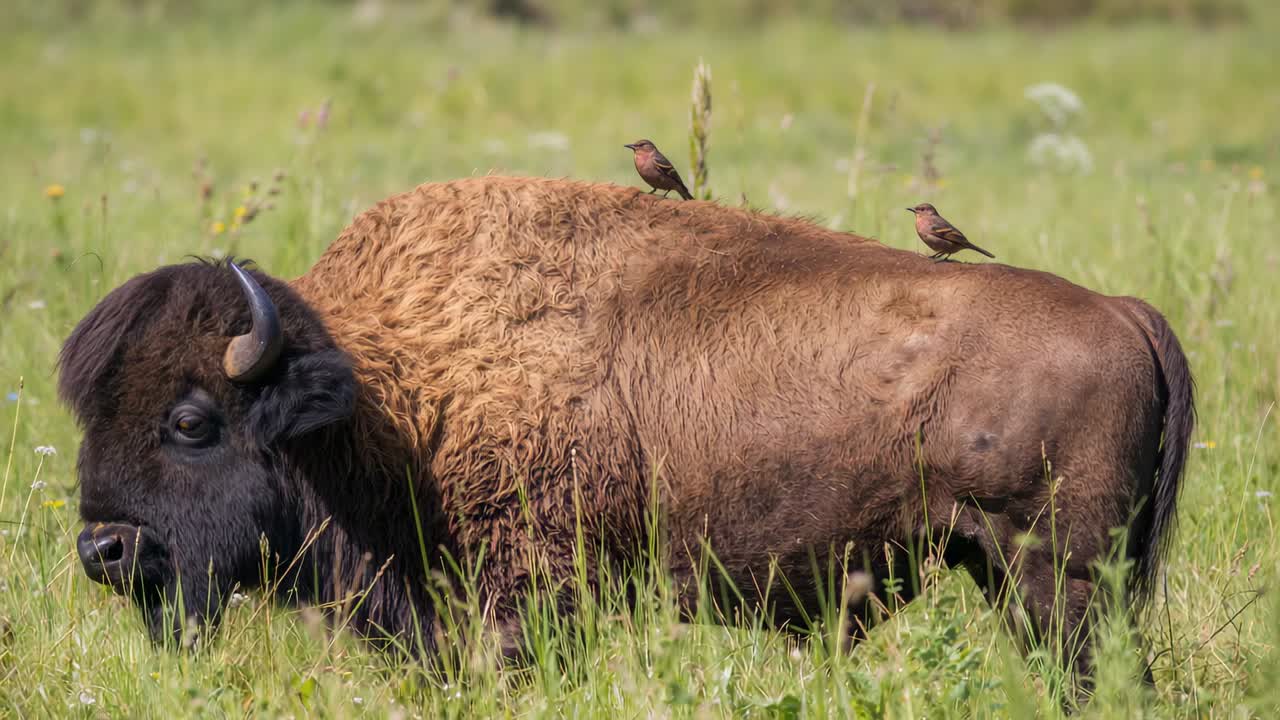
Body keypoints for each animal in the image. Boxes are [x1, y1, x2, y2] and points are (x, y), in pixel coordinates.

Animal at [61, 176, 1192, 676]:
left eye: (190, 421)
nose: (104, 549)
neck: (387, 393)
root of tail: (1123, 310)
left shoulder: (528, 597)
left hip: (1054, 576)